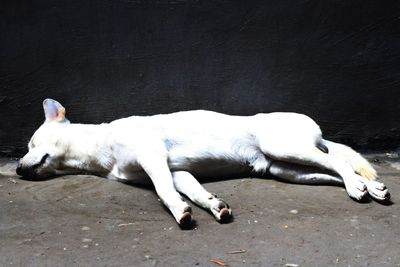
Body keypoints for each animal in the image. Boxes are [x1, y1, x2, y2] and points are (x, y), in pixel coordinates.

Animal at [17, 99, 390, 229]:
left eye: (32, 143)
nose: (19, 169)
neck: (101, 146)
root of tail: (317, 128)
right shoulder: (176, 171)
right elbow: (192, 191)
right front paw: (213, 205)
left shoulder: (153, 158)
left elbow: (165, 192)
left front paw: (180, 212)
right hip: (286, 169)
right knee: (334, 169)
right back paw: (371, 188)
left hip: (284, 146)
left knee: (338, 163)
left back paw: (357, 186)